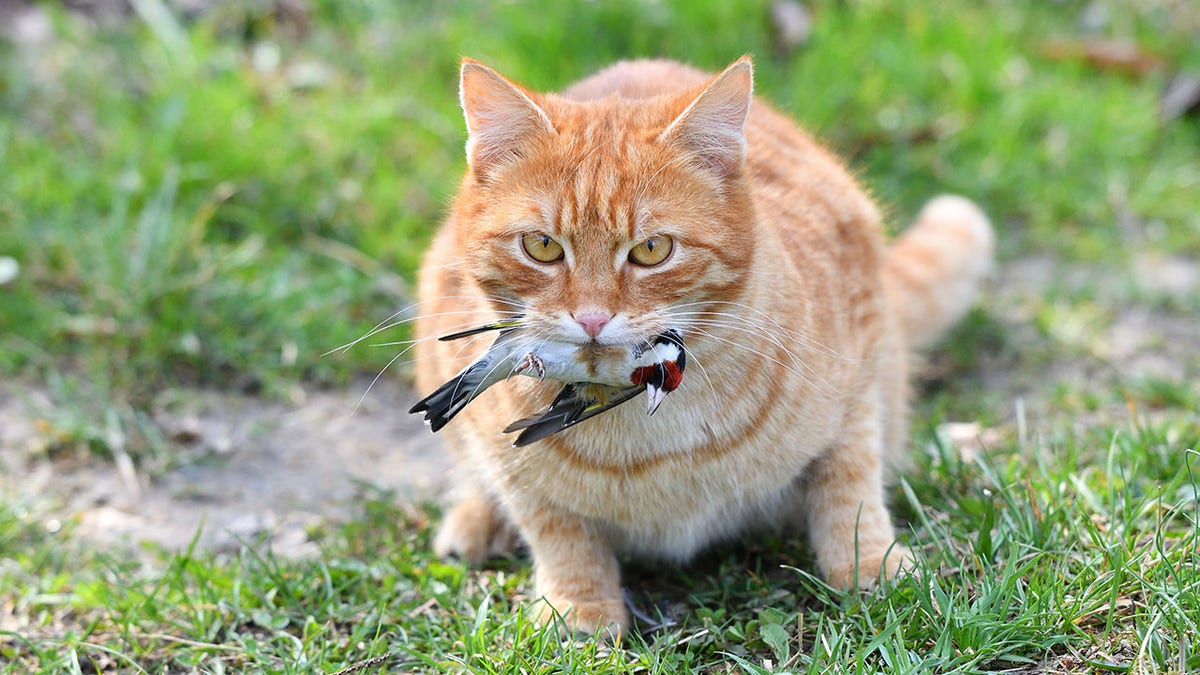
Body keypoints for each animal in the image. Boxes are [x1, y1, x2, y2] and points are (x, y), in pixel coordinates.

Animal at [412, 56, 993, 629]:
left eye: (651, 250)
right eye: (541, 247)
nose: (592, 318)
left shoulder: (859, 377)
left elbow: (850, 487)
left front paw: (871, 565)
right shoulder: (512, 465)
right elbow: (557, 530)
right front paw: (578, 608)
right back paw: (475, 521)